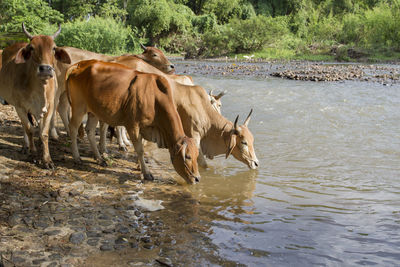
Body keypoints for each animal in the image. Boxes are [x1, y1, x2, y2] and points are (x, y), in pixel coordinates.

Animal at [0, 23, 70, 170]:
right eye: (32, 48)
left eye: (53, 48)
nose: (45, 69)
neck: (39, 89)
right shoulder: (20, 107)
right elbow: (29, 130)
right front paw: (33, 153)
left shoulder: (49, 108)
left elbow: (44, 133)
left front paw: (47, 160)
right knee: (25, 126)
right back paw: (26, 146)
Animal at [67, 59, 202, 184]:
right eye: (187, 156)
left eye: (196, 156)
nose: (197, 179)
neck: (154, 98)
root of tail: (80, 64)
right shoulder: (133, 125)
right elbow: (140, 150)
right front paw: (146, 172)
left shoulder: (145, 127)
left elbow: (142, 146)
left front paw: (139, 166)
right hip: (79, 107)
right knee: (73, 128)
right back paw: (77, 157)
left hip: (94, 111)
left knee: (89, 131)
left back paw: (100, 159)